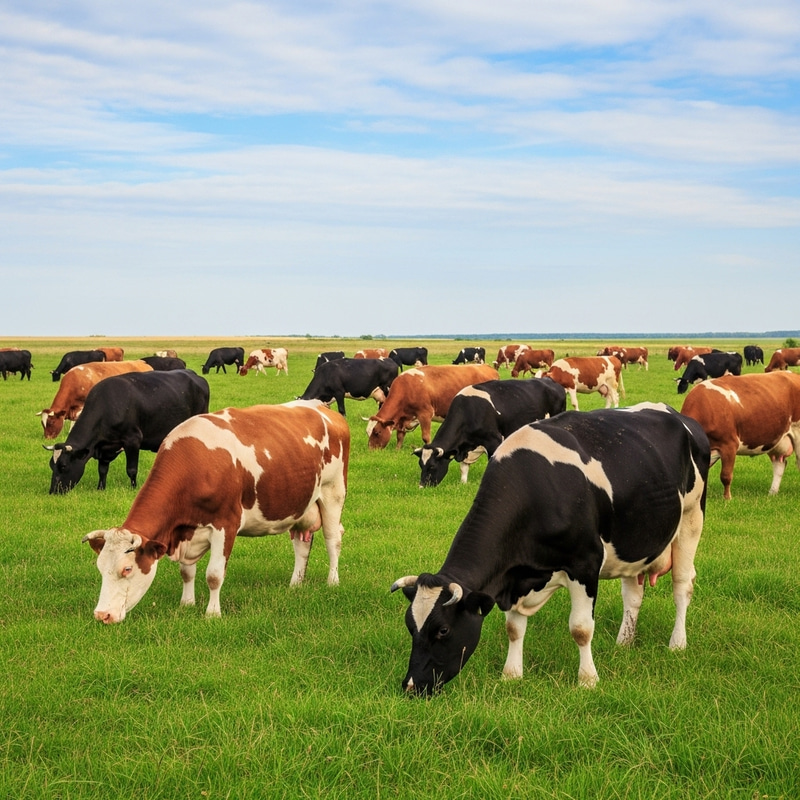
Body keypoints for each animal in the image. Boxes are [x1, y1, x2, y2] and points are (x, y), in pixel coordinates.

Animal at [45, 370, 210, 494]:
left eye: (63, 466)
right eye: (51, 465)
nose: (53, 491)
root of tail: (194, 375)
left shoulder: (133, 440)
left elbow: (131, 469)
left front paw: (133, 488)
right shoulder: (104, 448)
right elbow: (102, 470)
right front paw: (100, 488)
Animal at [81, 400, 350, 623]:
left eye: (127, 569)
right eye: (100, 567)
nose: (102, 615)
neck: (195, 464)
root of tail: (321, 407)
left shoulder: (226, 524)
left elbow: (214, 575)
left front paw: (212, 614)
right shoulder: (186, 531)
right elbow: (186, 572)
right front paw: (187, 603)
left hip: (333, 492)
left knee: (333, 538)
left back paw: (333, 581)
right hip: (300, 505)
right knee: (301, 545)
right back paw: (295, 584)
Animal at [366, 364, 498, 450]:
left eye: (377, 433)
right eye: (368, 433)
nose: (371, 450)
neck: (407, 387)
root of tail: (487, 367)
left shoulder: (425, 414)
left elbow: (426, 437)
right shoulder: (403, 418)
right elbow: (400, 436)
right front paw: (397, 450)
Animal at [391, 403, 710, 694]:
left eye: (443, 630)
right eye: (410, 626)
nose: (410, 686)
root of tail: (678, 415)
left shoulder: (585, 563)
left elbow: (581, 628)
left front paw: (588, 680)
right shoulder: (515, 576)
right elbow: (513, 629)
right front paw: (511, 674)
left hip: (691, 518)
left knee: (682, 585)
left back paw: (677, 643)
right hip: (633, 542)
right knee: (633, 595)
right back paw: (623, 643)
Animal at [414, 377, 567, 487]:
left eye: (432, 466)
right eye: (421, 465)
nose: (422, 487)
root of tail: (551, 381)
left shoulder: (494, 440)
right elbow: (463, 468)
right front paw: (463, 484)